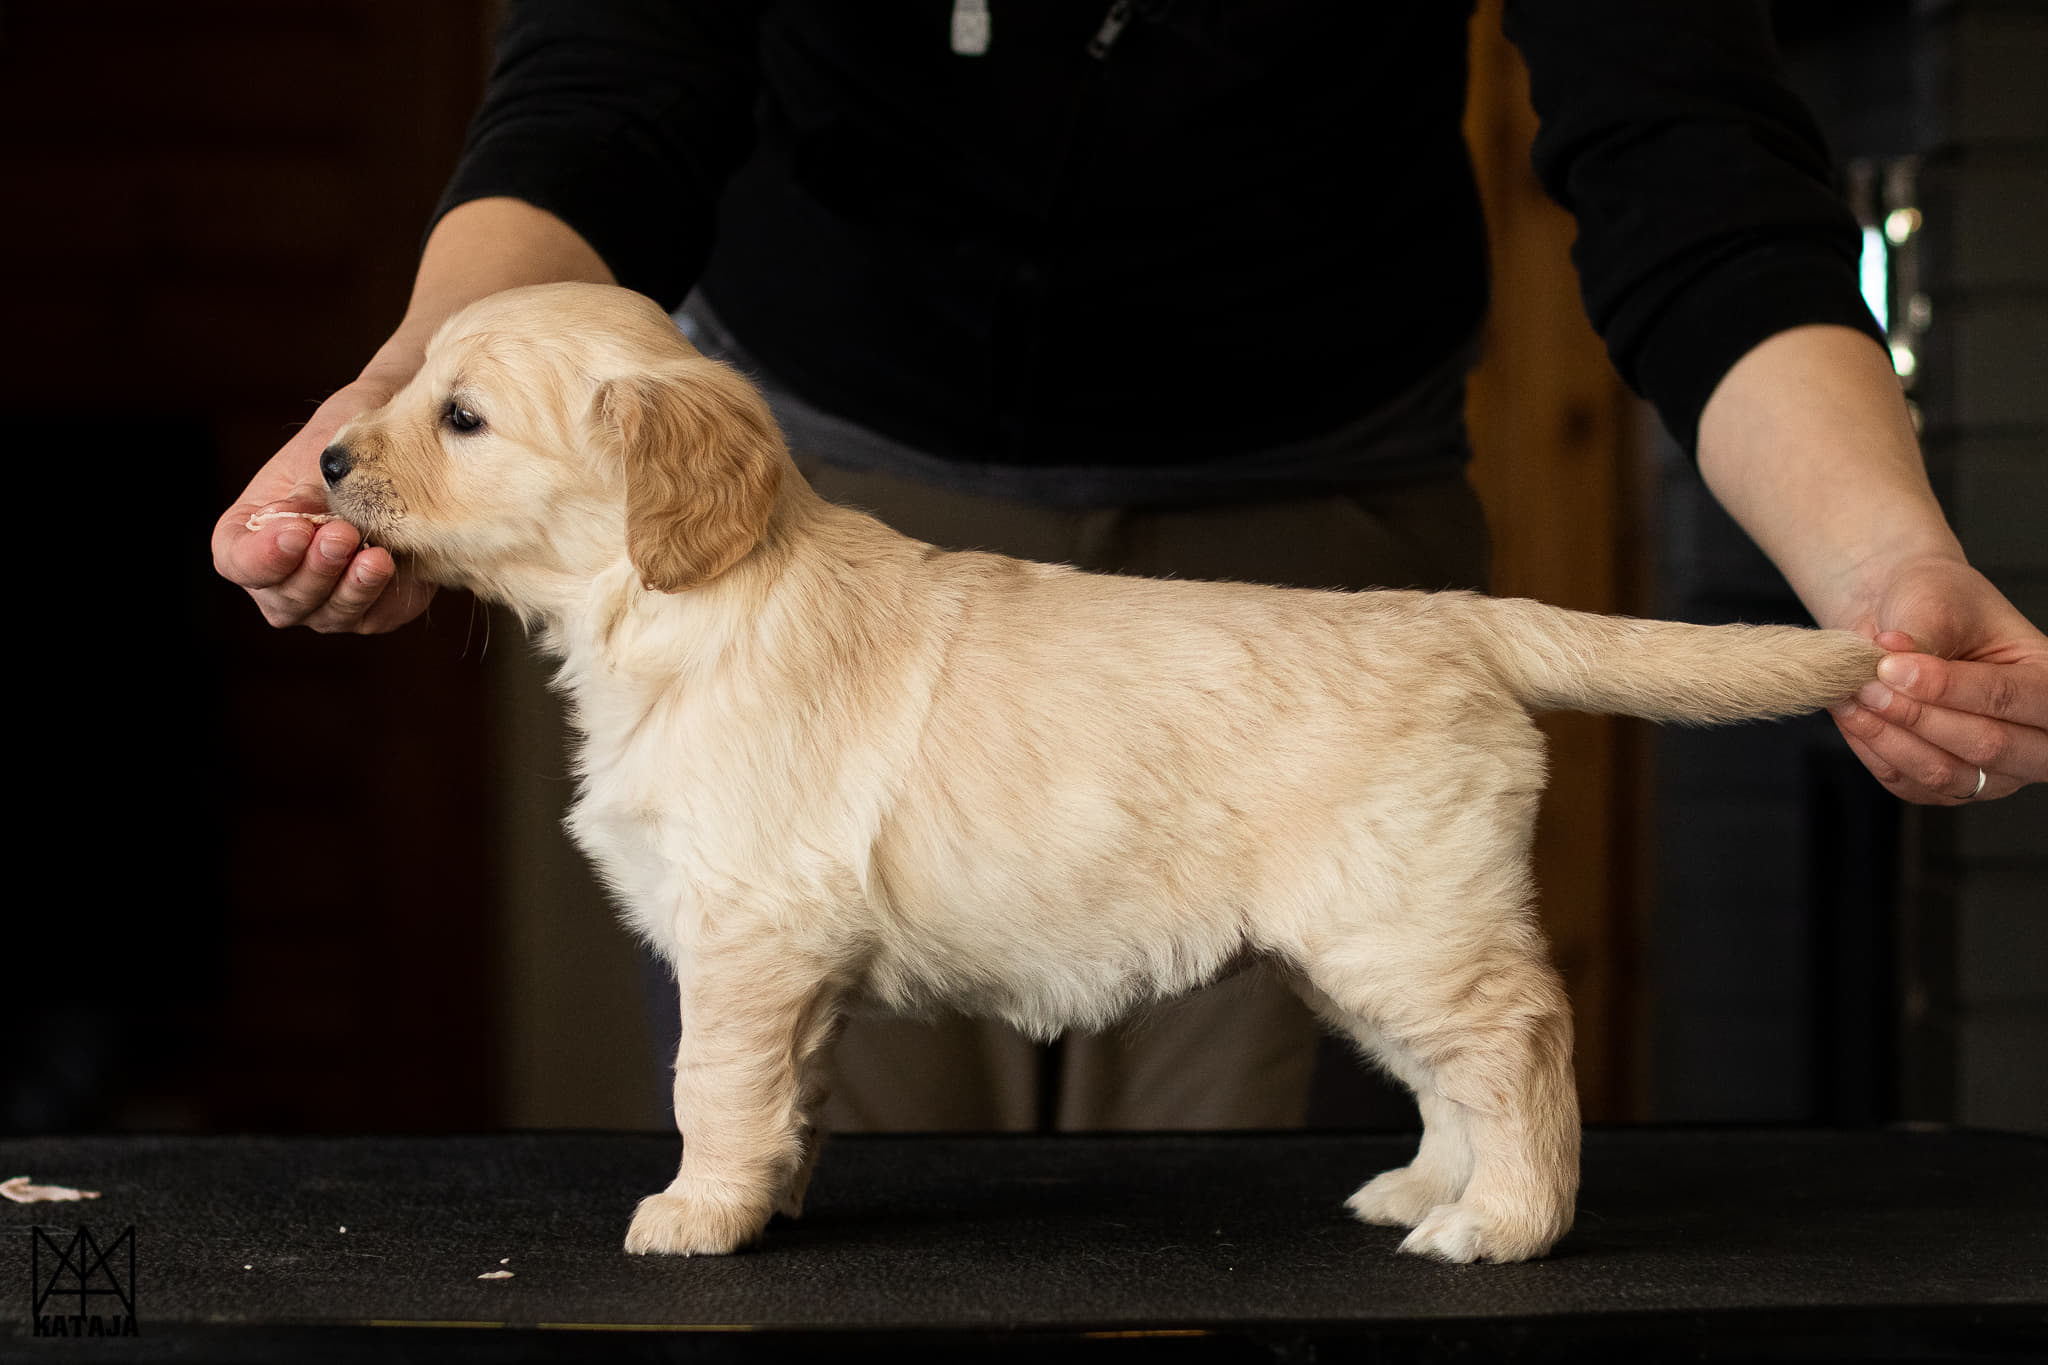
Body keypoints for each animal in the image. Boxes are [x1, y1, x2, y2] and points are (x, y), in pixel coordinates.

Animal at [319, 282, 1880, 1264]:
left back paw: (1505, 1225)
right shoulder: (791, 961)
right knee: (1453, 1074)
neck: (682, 604)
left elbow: (714, 1083)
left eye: (462, 418)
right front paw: (769, 1200)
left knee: (1520, 1044)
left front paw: (696, 1215)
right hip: (1365, 935)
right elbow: (790, 1093)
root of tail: (1450, 616)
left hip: (1403, 920)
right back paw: (1427, 1190)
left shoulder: (749, 932)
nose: (327, 457)